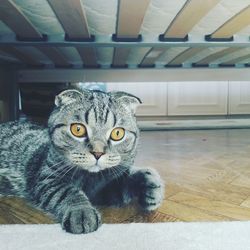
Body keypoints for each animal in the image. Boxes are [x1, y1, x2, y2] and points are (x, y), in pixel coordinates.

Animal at [0, 89, 165, 234]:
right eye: (78, 129)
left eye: (118, 133)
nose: (98, 153)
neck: (91, 178)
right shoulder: (47, 179)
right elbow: (67, 192)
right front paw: (81, 211)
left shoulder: (106, 189)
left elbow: (131, 179)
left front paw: (151, 185)